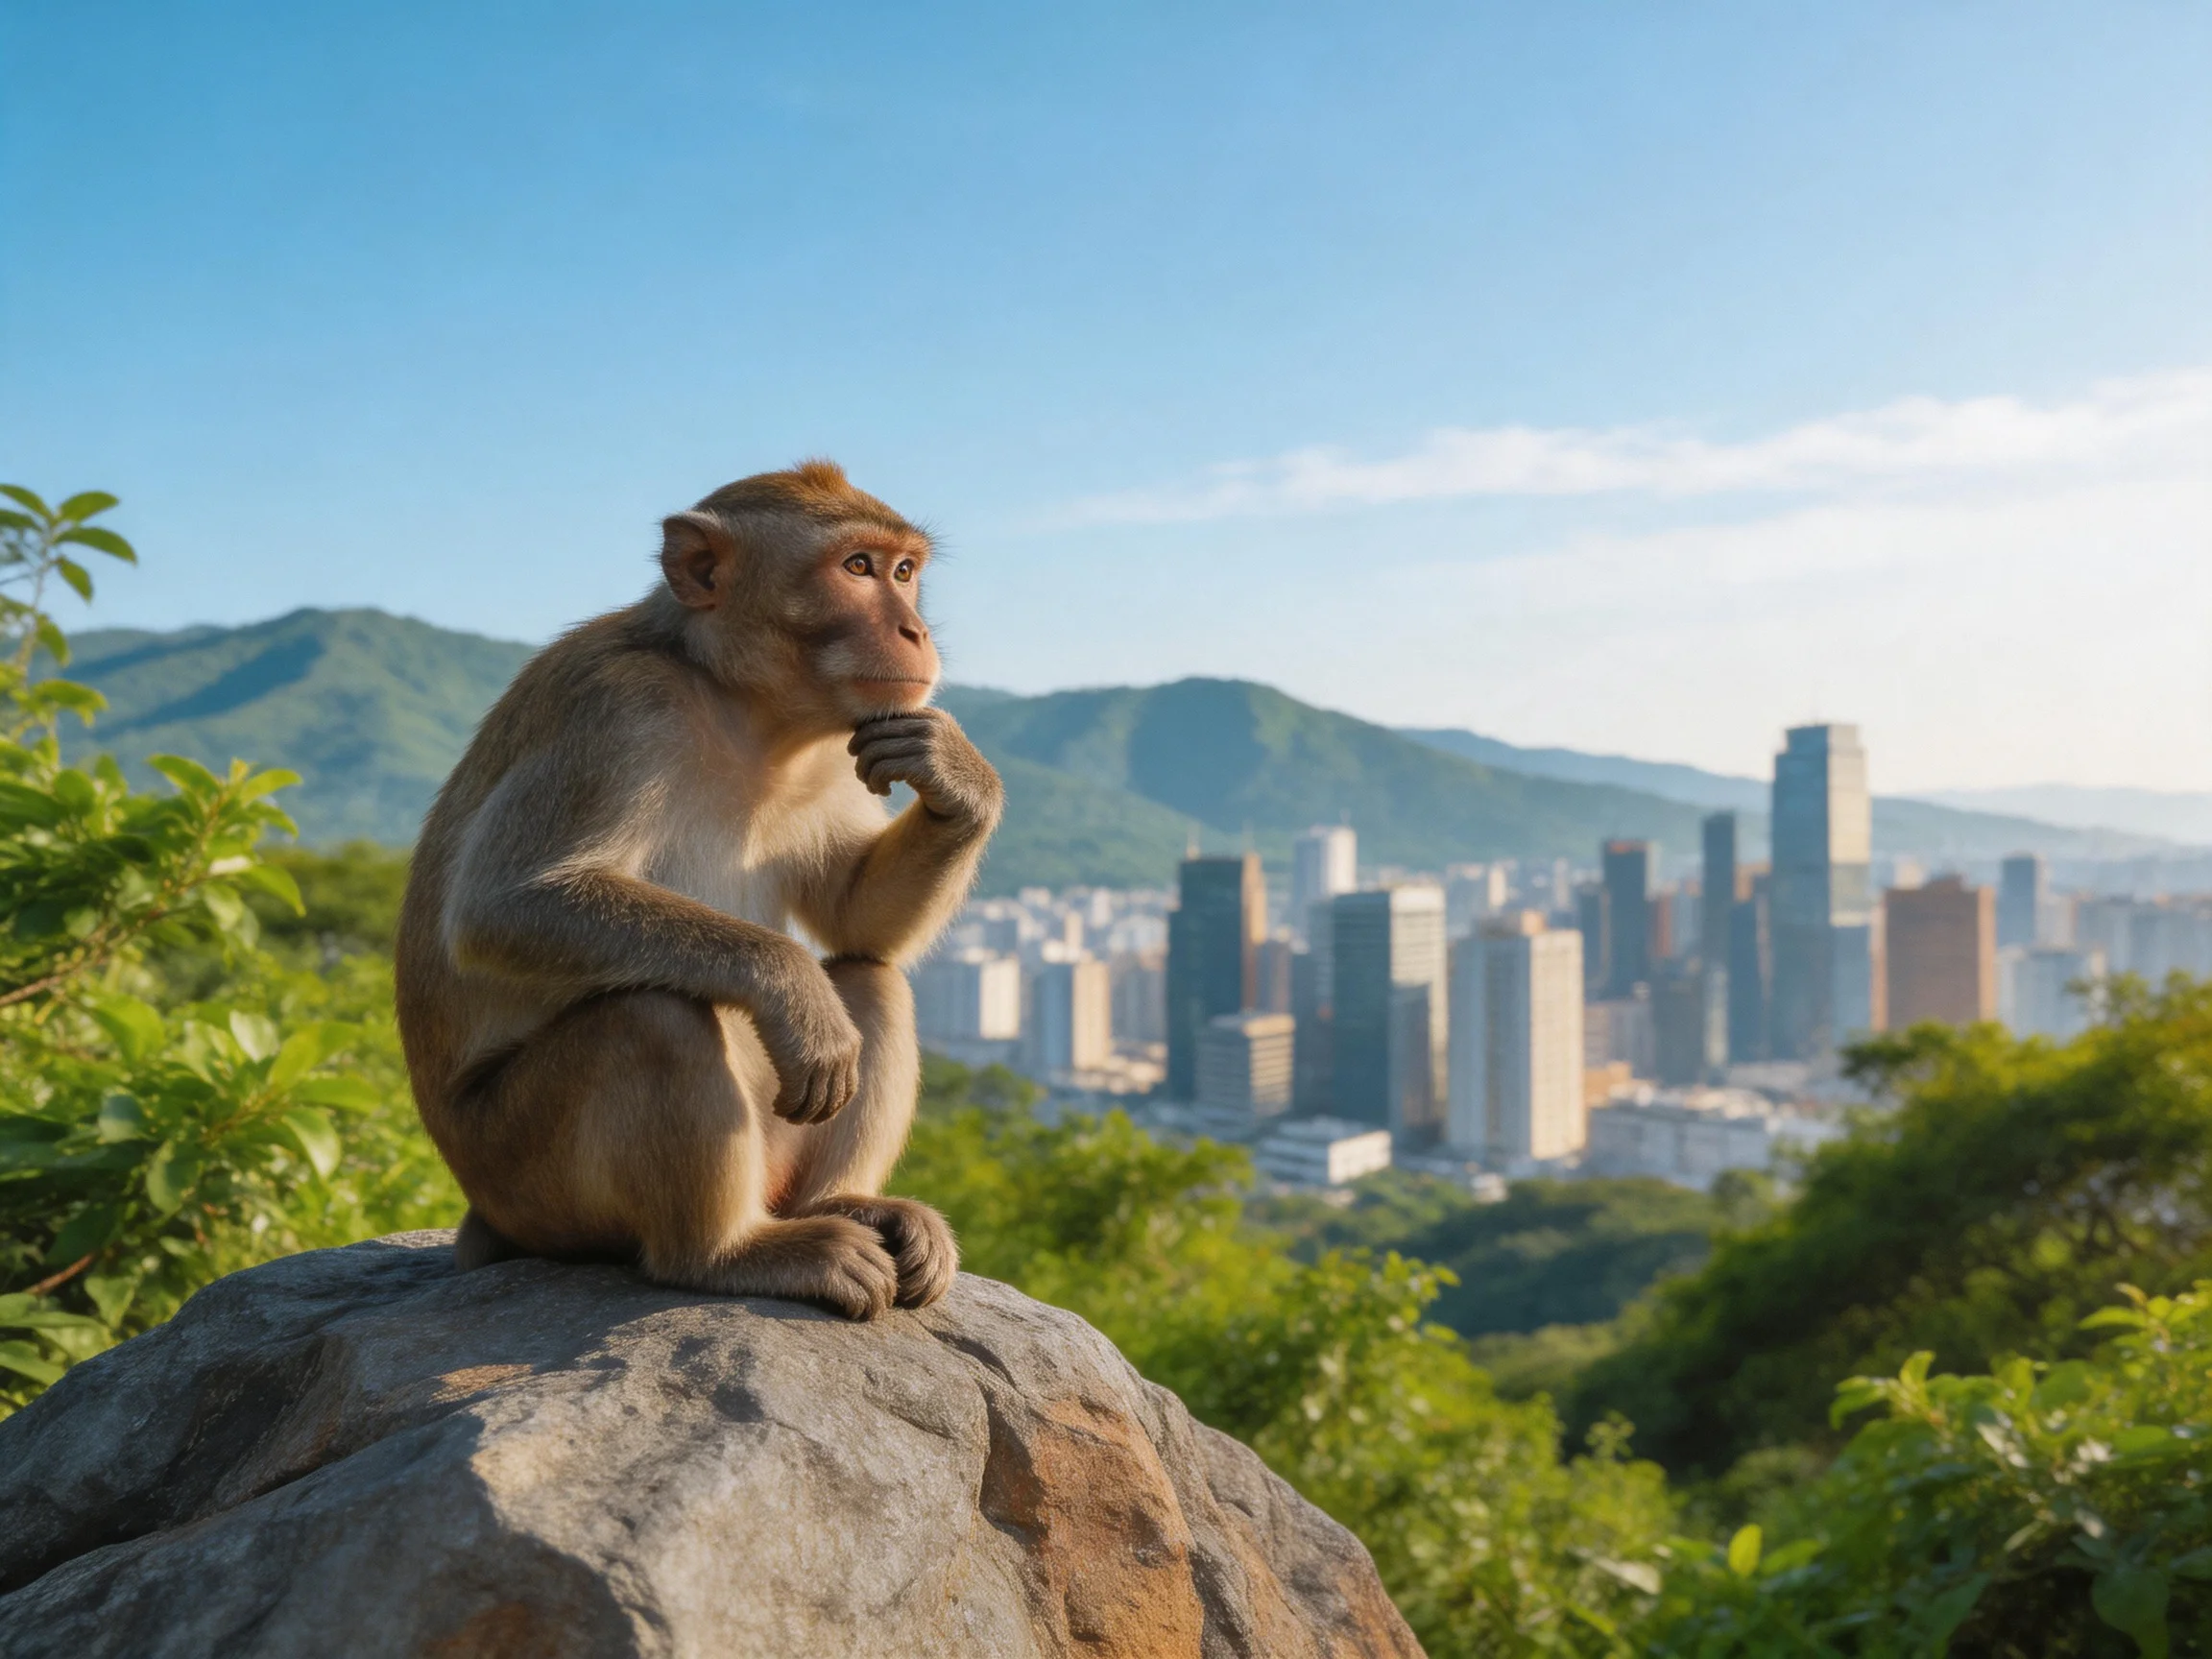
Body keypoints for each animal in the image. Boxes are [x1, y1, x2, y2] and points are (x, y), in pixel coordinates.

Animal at [393, 461, 1002, 1319]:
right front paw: (792, 987)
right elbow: (503, 905)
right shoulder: (619, 709)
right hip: (524, 1175)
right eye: (858, 568)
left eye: (906, 572)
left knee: (871, 977)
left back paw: (842, 1206)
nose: (915, 632)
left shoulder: (837, 748)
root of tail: (485, 1212)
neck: (738, 702)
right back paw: (727, 1254)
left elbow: (856, 917)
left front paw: (957, 775)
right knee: (653, 1018)